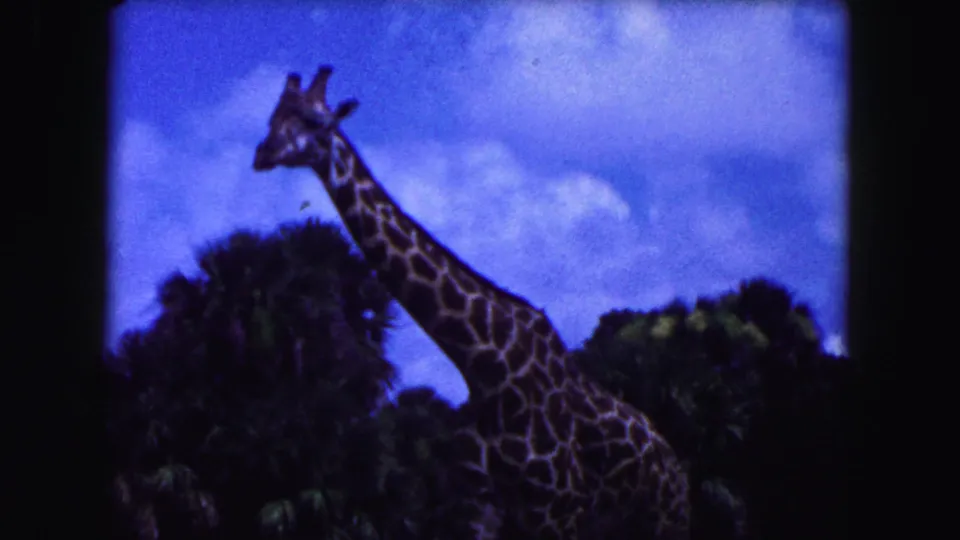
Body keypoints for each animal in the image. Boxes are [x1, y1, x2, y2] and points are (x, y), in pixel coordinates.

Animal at [252, 65, 690, 540]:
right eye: (273, 116)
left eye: (316, 121)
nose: (263, 153)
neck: (486, 367)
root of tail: (676, 465)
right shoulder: (480, 505)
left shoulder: (556, 511)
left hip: (663, 521)